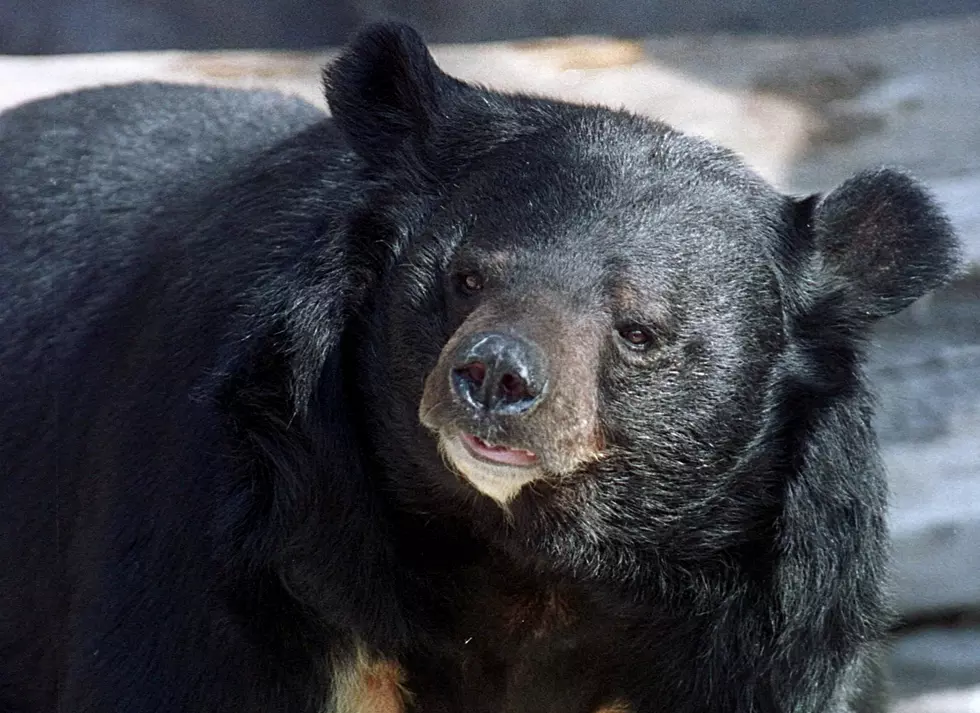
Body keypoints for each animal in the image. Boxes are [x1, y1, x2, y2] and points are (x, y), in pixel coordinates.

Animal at [0, 22, 964, 712]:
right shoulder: (240, 556)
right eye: (466, 277)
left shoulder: (763, 639)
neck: (529, 565)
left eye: (639, 329)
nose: (495, 376)